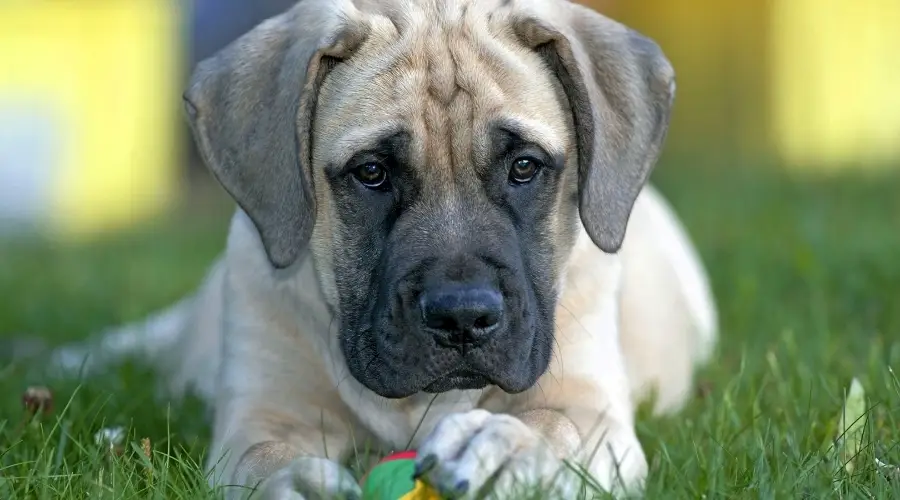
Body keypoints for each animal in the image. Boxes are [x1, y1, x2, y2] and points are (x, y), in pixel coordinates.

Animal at [24, 1, 720, 498]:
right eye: (372, 173)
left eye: (525, 167)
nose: (462, 318)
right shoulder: (260, 417)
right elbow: (265, 459)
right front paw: (298, 485)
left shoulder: (593, 412)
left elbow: (553, 428)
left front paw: (504, 448)